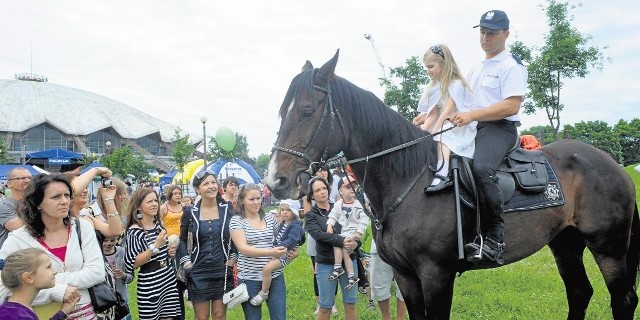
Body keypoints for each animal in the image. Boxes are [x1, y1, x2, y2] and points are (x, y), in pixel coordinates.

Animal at [264, 50, 640, 318]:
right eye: (282, 112)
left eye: (307, 111)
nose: (275, 180)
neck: (411, 181)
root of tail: (613, 164)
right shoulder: (406, 276)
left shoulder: (436, 275)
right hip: (566, 243)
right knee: (580, 293)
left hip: (608, 246)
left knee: (622, 299)